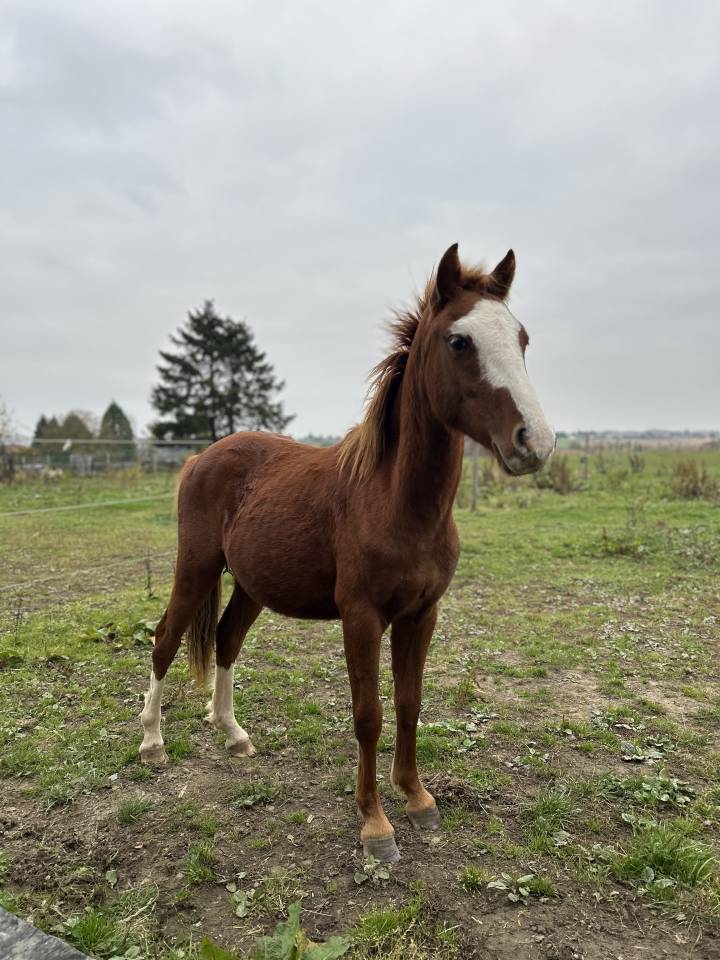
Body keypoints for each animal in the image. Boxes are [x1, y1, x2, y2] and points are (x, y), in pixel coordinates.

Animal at [140, 243, 555, 863]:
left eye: (521, 337)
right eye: (460, 341)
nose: (535, 441)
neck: (395, 501)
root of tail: (200, 457)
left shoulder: (421, 615)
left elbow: (408, 703)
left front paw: (417, 798)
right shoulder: (361, 619)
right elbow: (368, 715)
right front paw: (375, 825)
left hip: (251, 585)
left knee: (228, 639)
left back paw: (233, 734)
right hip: (196, 567)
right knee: (166, 639)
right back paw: (152, 742)